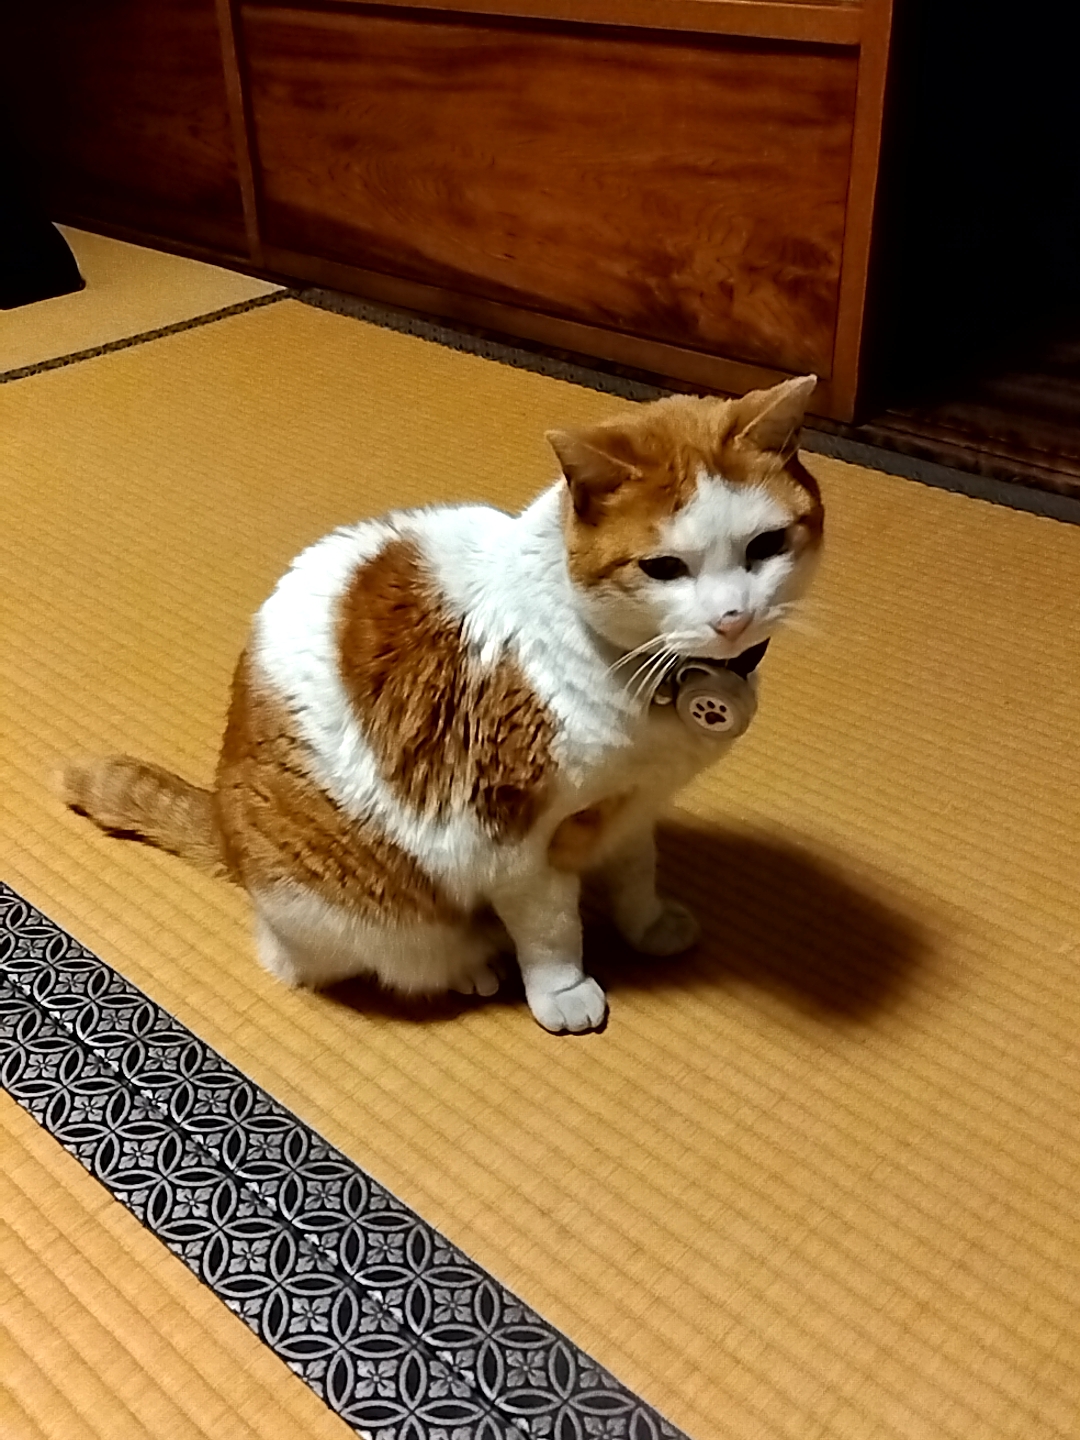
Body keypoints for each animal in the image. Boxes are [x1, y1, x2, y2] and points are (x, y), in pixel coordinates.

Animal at [63, 375, 823, 1034]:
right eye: (663, 568)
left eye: (765, 546)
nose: (732, 617)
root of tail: (224, 819)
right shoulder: (513, 840)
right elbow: (552, 931)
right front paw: (565, 992)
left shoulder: (635, 808)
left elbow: (637, 874)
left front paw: (649, 926)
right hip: (352, 904)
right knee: (332, 959)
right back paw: (468, 966)